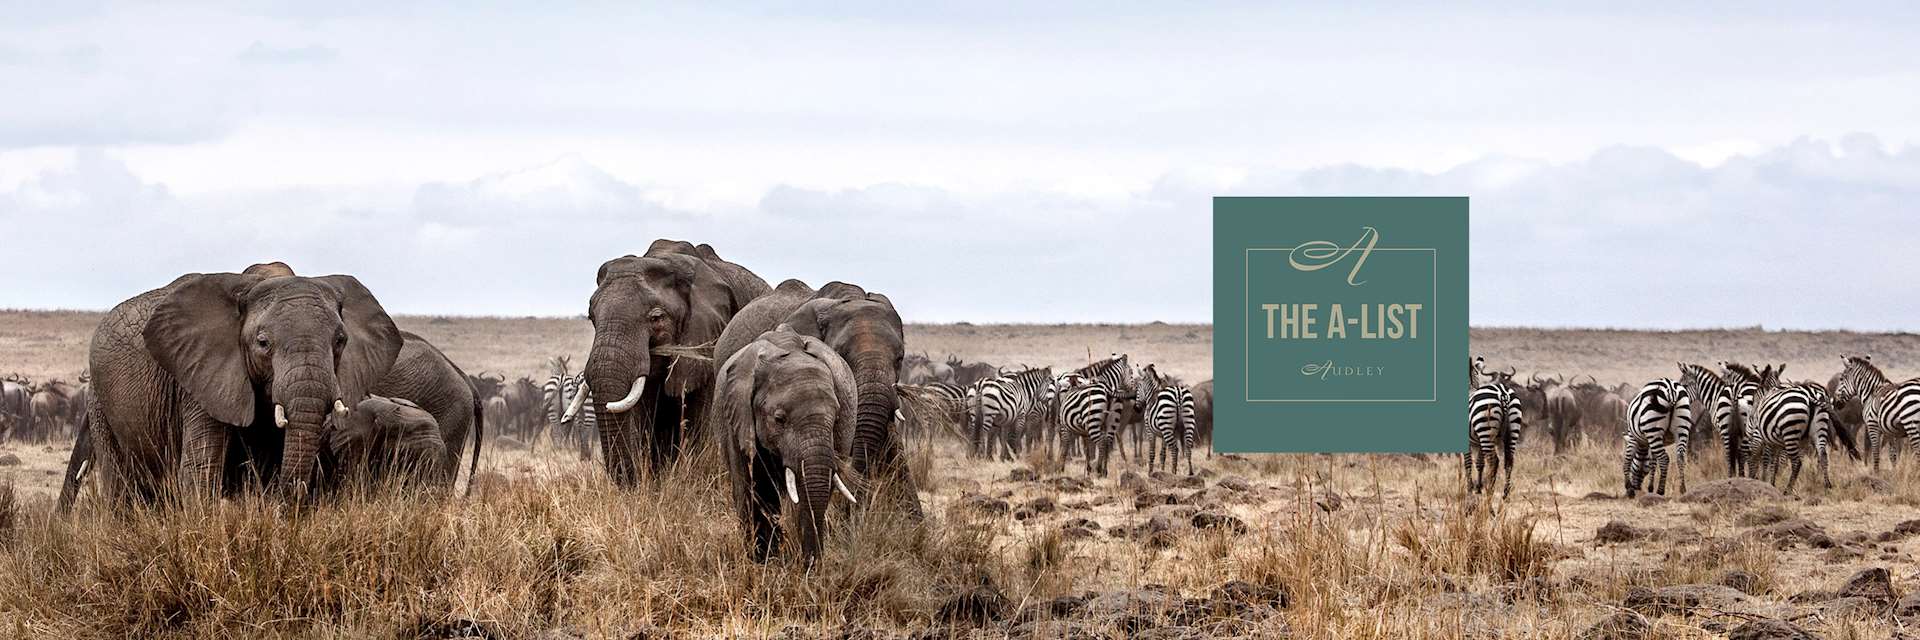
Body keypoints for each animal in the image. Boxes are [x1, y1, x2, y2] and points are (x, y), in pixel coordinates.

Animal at [78, 271, 402, 506]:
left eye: (340, 341)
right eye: (263, 342)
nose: (294, 499)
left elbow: (268, 466)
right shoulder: (199, 379)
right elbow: (201, 469)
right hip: (99, 401)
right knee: (121, 487)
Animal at [717, 324, 858, 562]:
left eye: (836, 417)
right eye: (779, 419)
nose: (812, 565)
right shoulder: (735, 416)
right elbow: (748, 487)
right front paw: (762, 562)